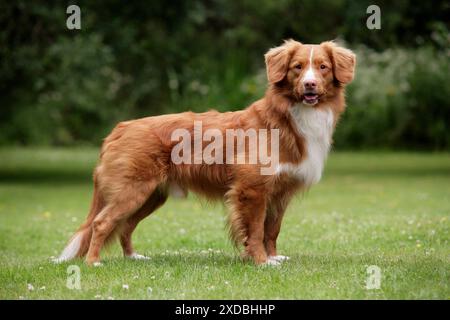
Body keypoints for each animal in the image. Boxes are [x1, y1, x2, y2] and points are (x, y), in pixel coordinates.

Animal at [55, 39, 356, 264]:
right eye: (297, 67)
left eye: (323, 67)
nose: (309, 84)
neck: (288, 118)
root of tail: (120, 128)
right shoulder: (252, 189)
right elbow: (255, 230)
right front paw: (260, 261)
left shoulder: (280, 192)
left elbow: (272, 230)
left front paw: (273, 257)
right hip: (132, 191)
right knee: (102, 223)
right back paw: (93, 262)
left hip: (150, 196)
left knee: (125, 227)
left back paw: (133, 257)